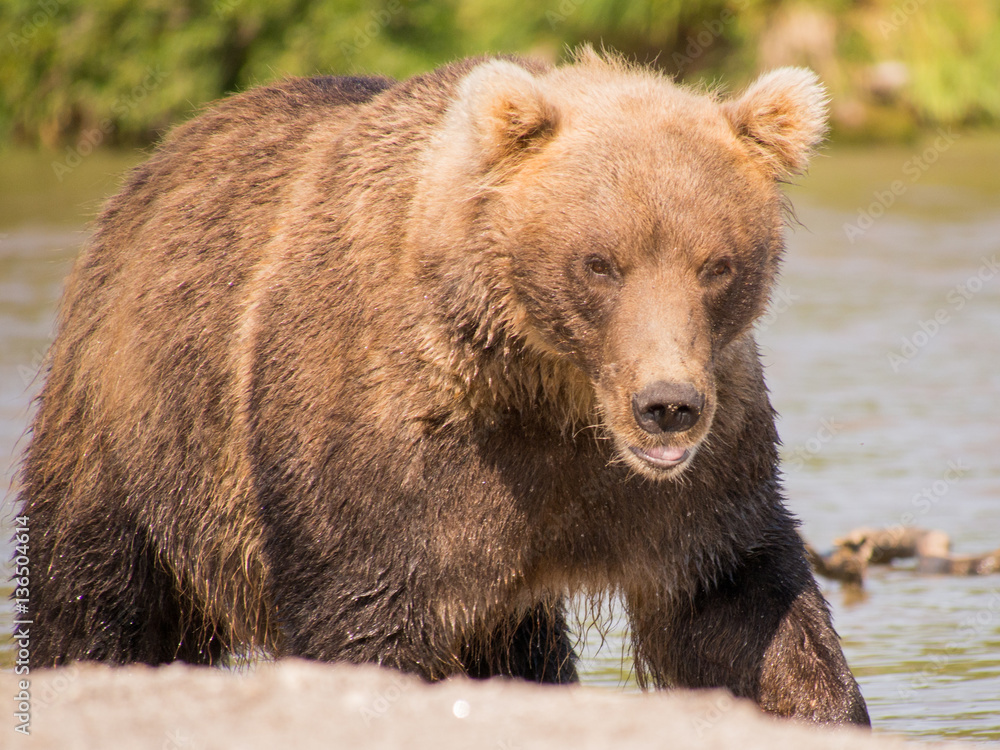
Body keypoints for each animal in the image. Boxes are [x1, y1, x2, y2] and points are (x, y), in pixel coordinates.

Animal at [16, 48, 869, 725]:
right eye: (600, 262)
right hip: (137, 432)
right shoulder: (393, 457)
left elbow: (743, 610)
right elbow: (369, 620)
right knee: (98, 599)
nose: (668, 406)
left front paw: (823, 706)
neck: (547, 389)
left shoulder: (692, 484)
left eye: (716, 264)